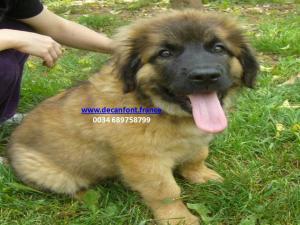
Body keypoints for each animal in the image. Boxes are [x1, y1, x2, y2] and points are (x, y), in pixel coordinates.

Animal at [8, 9, 258, 224]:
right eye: (165, 53)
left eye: (218, 48)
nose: (205, 76)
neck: (159, 108)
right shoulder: (144, 160)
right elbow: (166, 191)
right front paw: (178, 218)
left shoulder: (195, 140)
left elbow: (197, 155)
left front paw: (200, 175)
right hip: (51, 173)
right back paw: (88, 194)